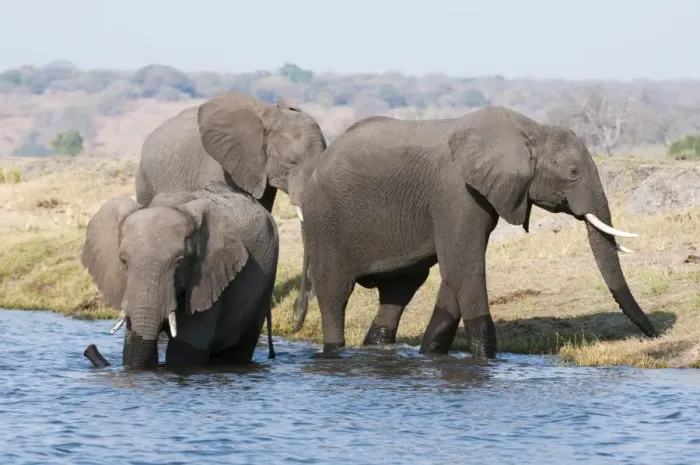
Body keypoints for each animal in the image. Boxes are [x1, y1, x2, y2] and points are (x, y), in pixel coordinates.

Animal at [294, 106, 659, 359]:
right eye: (572, 172)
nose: (654, 335)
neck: (531, 131)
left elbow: (457, 271)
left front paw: (431, 354)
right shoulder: (456, 193)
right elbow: (464, 267)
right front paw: (485, 359)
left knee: (400, 290)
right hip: (325, 222)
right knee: (335, 294)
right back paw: (335, 352)